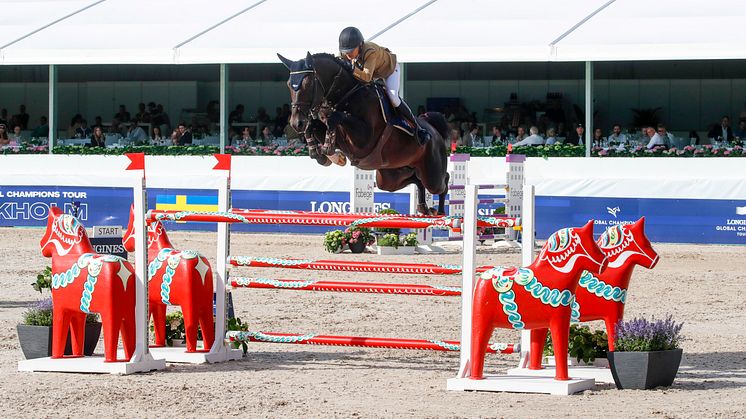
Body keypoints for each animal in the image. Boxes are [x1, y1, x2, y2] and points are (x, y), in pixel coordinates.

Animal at [39, 208, 136, 362]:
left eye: (48, 229)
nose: (41, 244)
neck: (68, 254)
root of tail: (124, 270)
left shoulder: (60, 308)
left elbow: (59, 333)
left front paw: (55, 357)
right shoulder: (78, 311)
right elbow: (78, 333)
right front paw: (78, 355)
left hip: (110, 312)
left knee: (111, 333)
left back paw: (109, 360)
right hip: (128, 313)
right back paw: (129, 358)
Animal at [278, 52, 448, 215]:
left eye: (307, 84)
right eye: (288, 85)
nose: (296, 123)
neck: (346, 96)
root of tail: (434, 131)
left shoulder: (365, 140)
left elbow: (336, 118)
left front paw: (329, 150)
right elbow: (313, 127)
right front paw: (324, 155)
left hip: (431, 174)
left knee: (442, 181)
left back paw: (439, 211)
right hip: (390, 176)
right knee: (416, 180)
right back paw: (424, 207)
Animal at [470, 221, 604, 382]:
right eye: (591, 243)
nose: (605, 261)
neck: (553, 275)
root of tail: (483, 278)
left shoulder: (543, 324)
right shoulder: (559, 321)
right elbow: (560, 349)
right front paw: (563, 379)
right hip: (482, 322)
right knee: (478, 345)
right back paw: (476, 378)